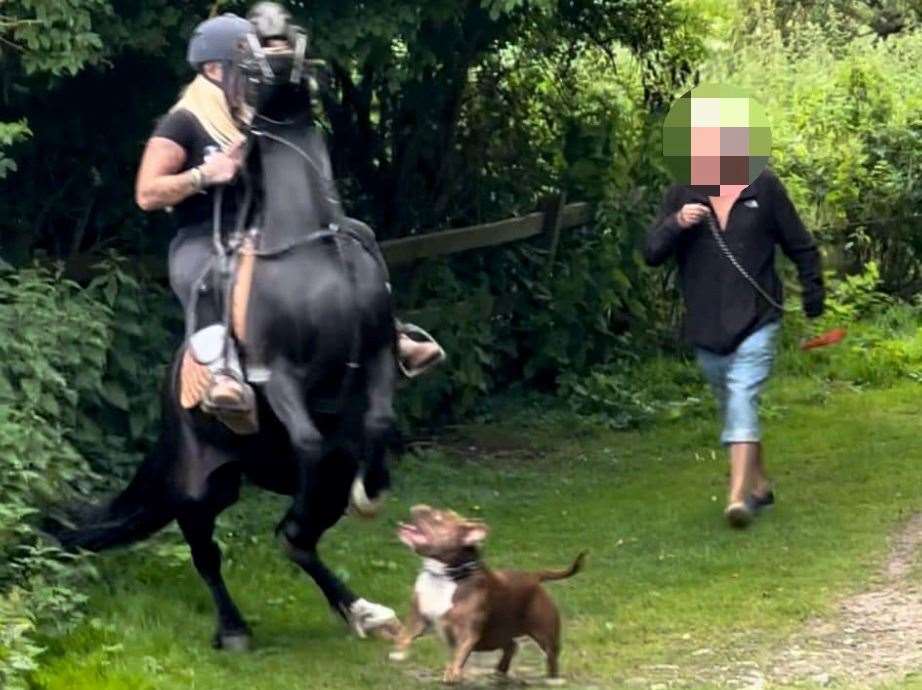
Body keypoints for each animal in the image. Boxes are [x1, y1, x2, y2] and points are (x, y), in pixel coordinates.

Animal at [53, 25, 398, 644]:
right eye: (249, 52)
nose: (281, 51)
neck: (312, 244)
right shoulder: (277, 373)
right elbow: (308, 440)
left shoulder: (379, 351)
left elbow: (377, 423)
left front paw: (373, 490)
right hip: (199, 488)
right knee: (211, 550)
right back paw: (235, 627)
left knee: (300, 542)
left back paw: (360, 608)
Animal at [388, 502, 584, 684]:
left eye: (438, 518)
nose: (418, 506)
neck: (444, 575)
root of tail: (534, 576)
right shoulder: (419, 618)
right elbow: (405, 634)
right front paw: (398, 653)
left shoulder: (467, 632)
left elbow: (460, 653)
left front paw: (452, 672)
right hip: (498, 634)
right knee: (511, 645)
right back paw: (500, 671)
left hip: (544, 634)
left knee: (550, 655)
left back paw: (552, 679)